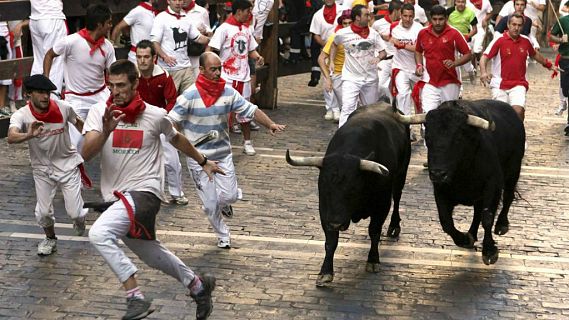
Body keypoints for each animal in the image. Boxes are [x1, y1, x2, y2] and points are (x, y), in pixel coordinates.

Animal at [286, 104, 410, 284]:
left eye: (352, 188)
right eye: (324, 187)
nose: (336, 223)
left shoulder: (382, 205)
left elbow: (374, 231)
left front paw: (373, 260)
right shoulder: (325, 210)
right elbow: (331, 241)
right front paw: (325, 272)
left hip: (401, 175)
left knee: (398, 197)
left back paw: (394, 226)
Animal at [424, 100, 524, 264]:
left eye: (457, 139)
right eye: (428, 138)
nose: (438, 173)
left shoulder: (493, 186)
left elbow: (487, 217)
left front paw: (489, 251)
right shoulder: (439, 190)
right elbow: (446, 222)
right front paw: (464, 239)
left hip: (514, 171)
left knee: (508, 197)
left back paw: (502, 224)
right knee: (477, 212)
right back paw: (472, 233)